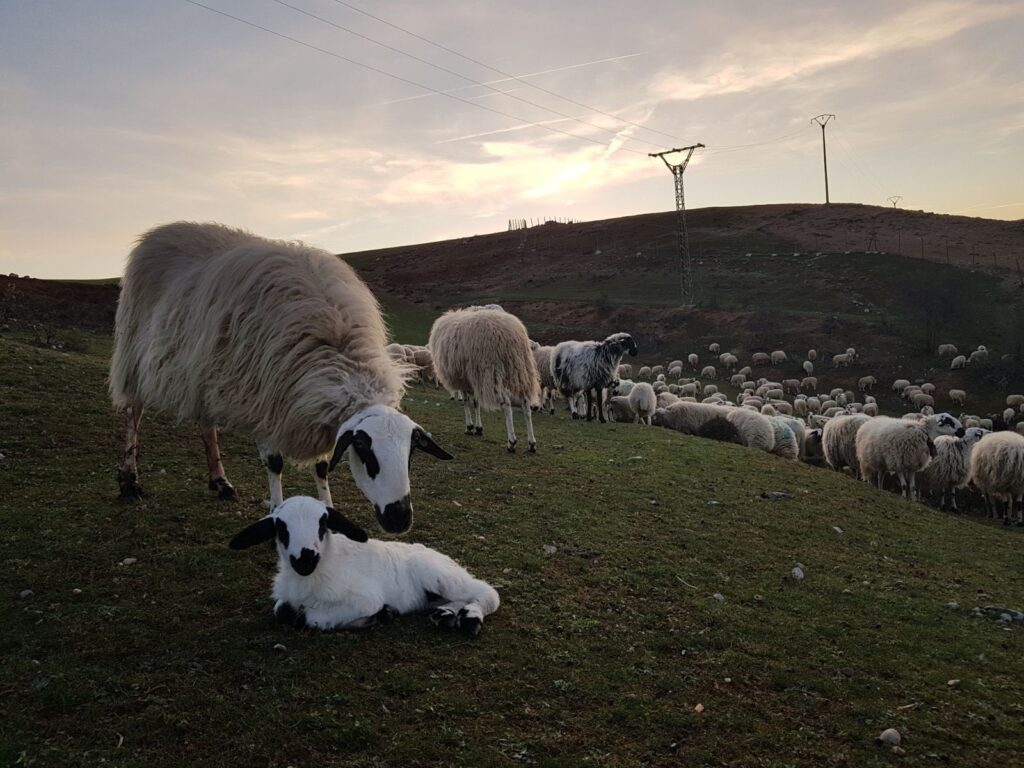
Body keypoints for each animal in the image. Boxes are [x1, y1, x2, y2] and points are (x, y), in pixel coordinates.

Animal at [109, 221, 451, 527]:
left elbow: (322, 467)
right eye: (364, 449)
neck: (332, 346)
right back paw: (129, 479)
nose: (400, 519)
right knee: (134, 411)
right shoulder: (262, 396)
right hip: (134, 353)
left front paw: (329, 509)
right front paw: (275, 509)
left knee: (206, 424)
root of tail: (161, 231)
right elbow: (274, 463)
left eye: (411, 452)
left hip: (203, 372)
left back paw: (221, 482)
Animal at [231, 496, 499, 634]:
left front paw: (380, 615)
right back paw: (446, 614)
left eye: (323, 523)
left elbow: (314, 618)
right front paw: (384, 615)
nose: (305, 559)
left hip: (434, 571)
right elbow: (282, 610)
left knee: (486, 592)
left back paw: (471, 617)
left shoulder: (365, 598)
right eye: (281, 528)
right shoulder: (285, 599)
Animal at [430, 307, 540, 453]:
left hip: (492, 371)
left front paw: (470, 427)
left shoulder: (464, 379)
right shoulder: (471, 379)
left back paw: (511, 442)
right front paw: (478, 428)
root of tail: (512, 335)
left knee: (507, 405)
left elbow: (466, 402)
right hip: (520, 371)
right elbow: (476, 402)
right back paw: (531, 443)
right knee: (526, 405)